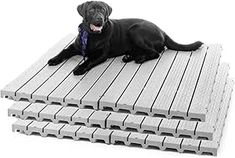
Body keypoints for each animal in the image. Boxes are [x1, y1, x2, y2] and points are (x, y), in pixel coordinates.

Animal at [47, 0, 202, 75]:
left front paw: (79, 68)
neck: (91, 36)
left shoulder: (101, 54)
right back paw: (129, 57)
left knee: (155, 52)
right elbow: (63, 51)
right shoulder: (74, 46)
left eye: (102, 10)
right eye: (91, 10)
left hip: (136, 30)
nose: (99, 19)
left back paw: (139, 58)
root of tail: (162, 30)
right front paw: (54, 59)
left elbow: (89, 60)